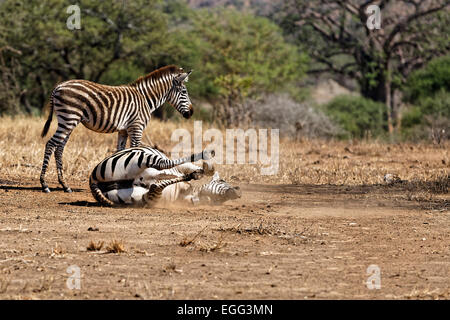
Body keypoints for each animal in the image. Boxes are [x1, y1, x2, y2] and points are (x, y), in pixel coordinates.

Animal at [39, 64, 192, 192]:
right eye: (184, 91)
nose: (191, 113)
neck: (145, 99)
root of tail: (58, 86)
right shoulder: (136, 127)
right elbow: (136, 151)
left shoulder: (123, 130)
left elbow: (121, 153)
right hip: (69, 118)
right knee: (50, 144)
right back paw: (44, 184)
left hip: (68, 120)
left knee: (59, 148)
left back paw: (65, 185)